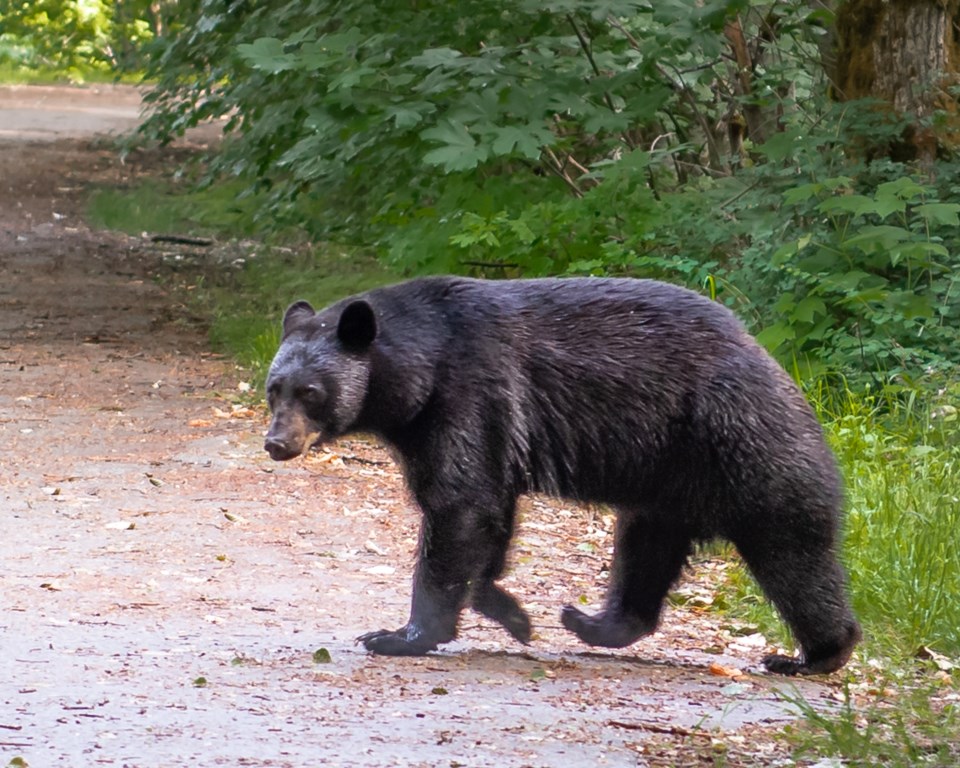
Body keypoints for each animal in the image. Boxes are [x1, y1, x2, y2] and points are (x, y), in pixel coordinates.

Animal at [264, 276, 864, 672]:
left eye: (310, 392)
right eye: (274, 388)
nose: (276, 443)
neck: (420, 371)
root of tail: (779, 370)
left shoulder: (469, 394)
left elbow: (460, 504)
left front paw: (401, 633)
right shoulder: (458, 426)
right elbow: (485, 508)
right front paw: (508, 610)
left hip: (739, 439)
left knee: (792, 549)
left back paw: (816, 654)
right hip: (670, 478)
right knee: (646, 547)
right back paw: (596, 622)